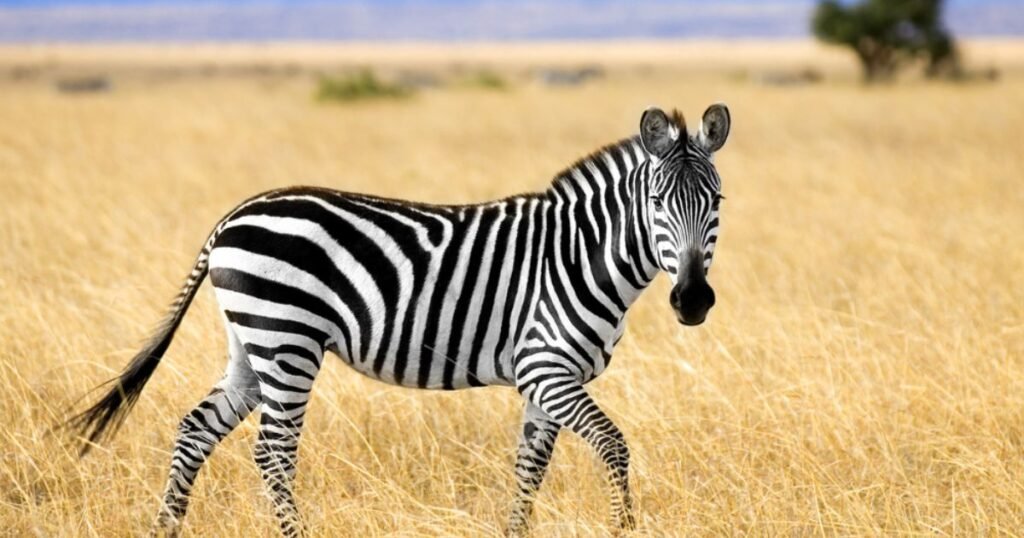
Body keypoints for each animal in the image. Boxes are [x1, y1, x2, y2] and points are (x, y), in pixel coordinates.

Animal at [66, 104, 731, 537]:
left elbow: (529, 469)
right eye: (656, 202)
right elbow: (613, 445)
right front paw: (625, 528)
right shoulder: (546, 368)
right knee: (274, 452)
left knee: (194, 430)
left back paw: (165, 527)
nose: (693, 301)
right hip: (288, 340)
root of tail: (232, 217)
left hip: (250, 344)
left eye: (716, 202)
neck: (578, 255)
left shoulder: (548, 382)